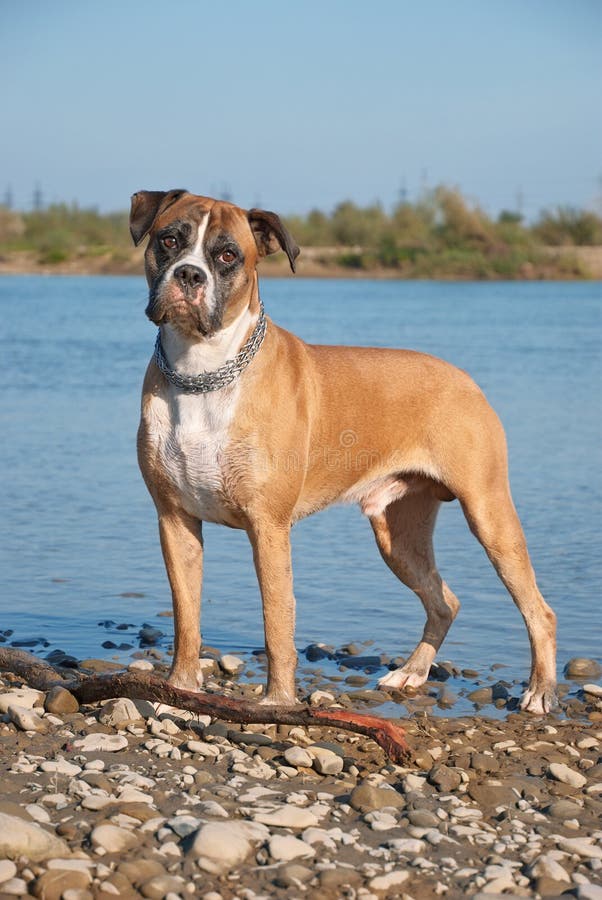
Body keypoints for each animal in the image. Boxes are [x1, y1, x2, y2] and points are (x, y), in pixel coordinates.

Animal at [129, 188, 556, 712]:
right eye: (169, 240)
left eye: (228, 255)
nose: (189, 275)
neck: (201, 373)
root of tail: (466, 381)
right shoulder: (176, 520)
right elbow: (186, 616)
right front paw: (179, 691)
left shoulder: (268, 528)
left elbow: (277, 620)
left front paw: (278, 703)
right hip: (399, 536)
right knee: (444, 601)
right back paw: (411, 673)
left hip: (490, 516)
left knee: (538, 610)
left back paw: (539, 691)